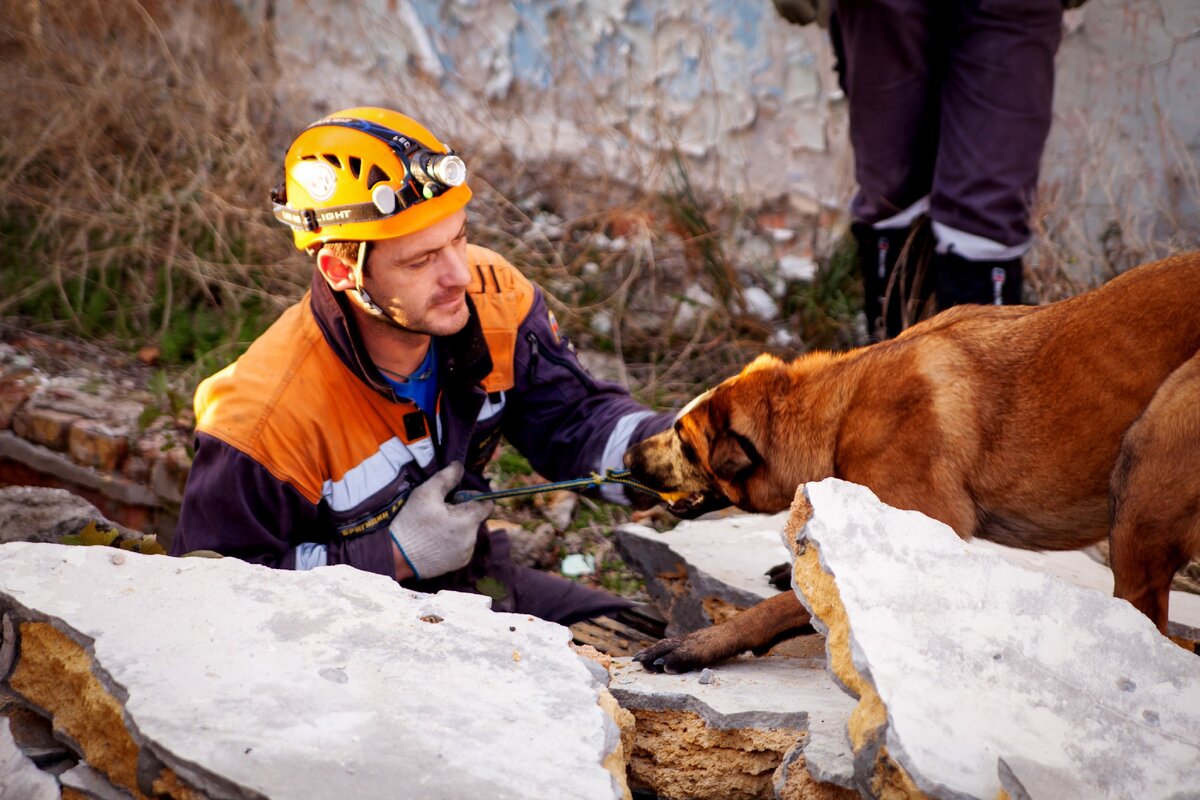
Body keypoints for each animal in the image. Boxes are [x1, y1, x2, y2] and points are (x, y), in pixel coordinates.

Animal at [628, 253, 1200, 671]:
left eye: (682, 440)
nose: (629, 456)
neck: (838, 412)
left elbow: (784, 603)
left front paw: (703, 642)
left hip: (1147, 464)